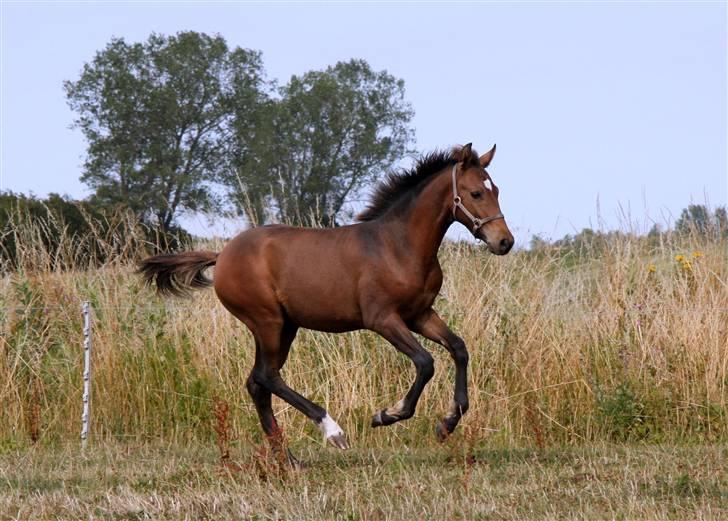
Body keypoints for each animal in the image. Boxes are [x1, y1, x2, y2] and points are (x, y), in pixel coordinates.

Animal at [139, 141, 516, 464]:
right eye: (476, 192)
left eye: (496, 190)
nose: (505, 242)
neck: (398, 245)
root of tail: (222, 256)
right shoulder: (383, 319)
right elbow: (425, 363)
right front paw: (388, 414)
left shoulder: (420, 314)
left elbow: (459, 348)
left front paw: (447, 423)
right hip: (267, 321)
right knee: (266, 376)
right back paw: (332, 431)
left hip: (285, 327)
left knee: (258, 382)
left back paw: (288, 459)